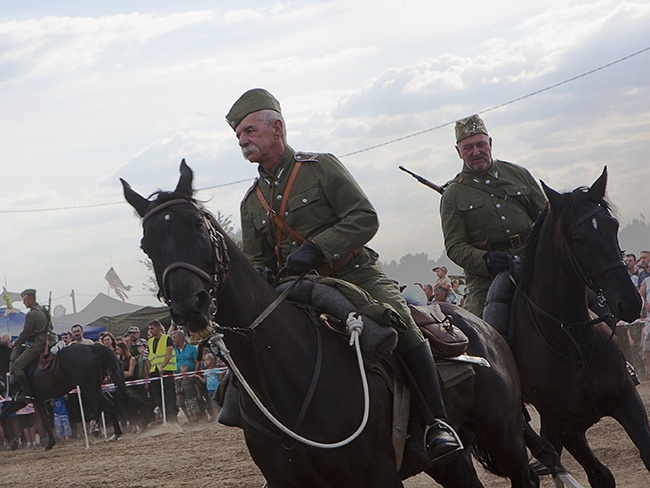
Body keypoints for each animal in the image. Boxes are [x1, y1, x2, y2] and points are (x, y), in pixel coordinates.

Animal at [120, 162, 540, 486]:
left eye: (195, 225)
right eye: (146, 244)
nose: (189, 305)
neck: (285, 373)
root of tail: (480, 326)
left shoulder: (378, 477)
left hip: (504, 437)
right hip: (453, 462)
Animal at [512, 166, 648, 486]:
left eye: (613, 226)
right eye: (578, 238)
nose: (630, 303)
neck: (574, 341)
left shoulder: (626, 397)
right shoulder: (565, 425)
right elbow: (601, 475)